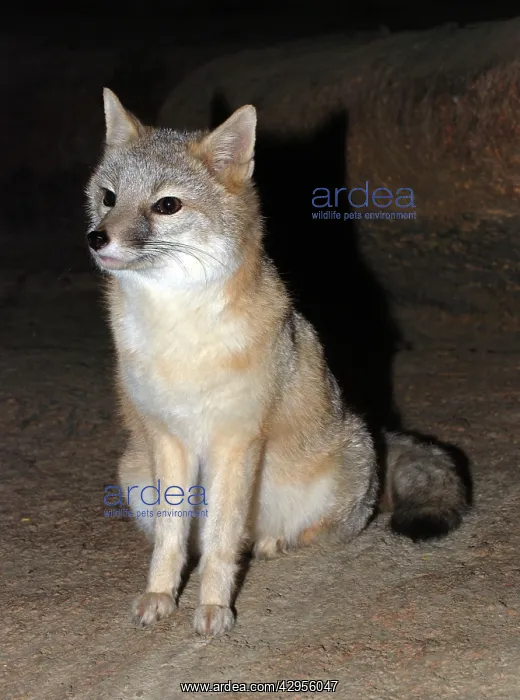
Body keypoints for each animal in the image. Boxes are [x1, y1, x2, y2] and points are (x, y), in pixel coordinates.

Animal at [86, 88, 469, 637]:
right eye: (108, 197)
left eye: (166, 206)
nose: (98, 238)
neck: (180, 336)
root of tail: (372, 430)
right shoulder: (168, 440)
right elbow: (171, 540)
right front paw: (161, 594)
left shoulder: (236, 440)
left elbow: (222, 541)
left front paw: (213, 605)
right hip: (134, 473)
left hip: (333, 480)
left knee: (306, 533)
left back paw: (273, 542)